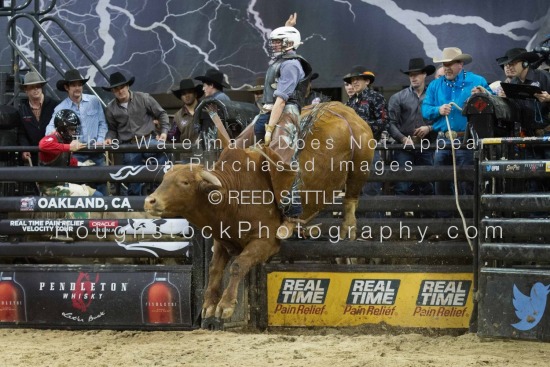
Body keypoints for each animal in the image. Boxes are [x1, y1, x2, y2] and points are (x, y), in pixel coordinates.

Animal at [143, 100, 376, 328]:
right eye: (165, 179)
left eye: (185, 182)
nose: (150, 201)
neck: (233, 192)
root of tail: (341, 108)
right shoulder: (223, 238)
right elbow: (215, 269)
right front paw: (208, 305)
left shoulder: (266, 241)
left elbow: (238, 265)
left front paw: (225, 306)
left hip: (360, 163)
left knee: (351, 195)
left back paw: (347, 227)